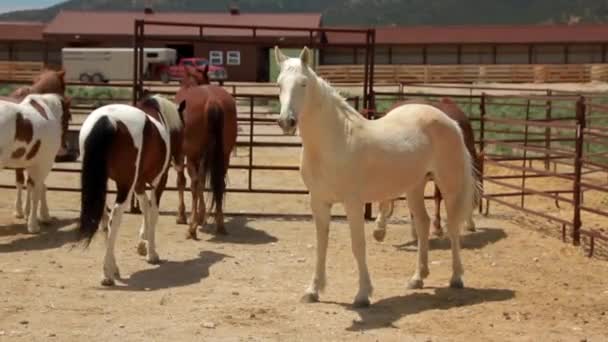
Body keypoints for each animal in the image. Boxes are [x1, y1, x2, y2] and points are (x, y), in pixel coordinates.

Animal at [173, 65, 238, 240]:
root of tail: (212, 101)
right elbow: (203, 182)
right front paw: (201, 216)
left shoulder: (182, 156)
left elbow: (182, 181)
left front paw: (182, 216)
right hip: (224, 155)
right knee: (219, 184)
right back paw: (220, 225)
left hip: (193, 156)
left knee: (194, 184)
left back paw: (192, 229)